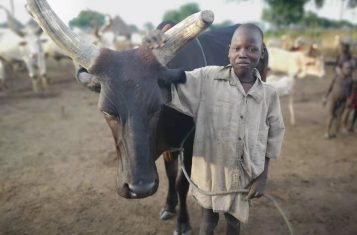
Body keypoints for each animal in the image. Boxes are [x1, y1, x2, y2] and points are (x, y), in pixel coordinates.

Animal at [25, 0, 268, 234]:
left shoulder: (190, 146)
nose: (139, 188)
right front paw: (169, 206)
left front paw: (183, 223)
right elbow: (170, 175)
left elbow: (182, 183)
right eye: (107, 111)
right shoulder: (170, 149)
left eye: (157, 108)